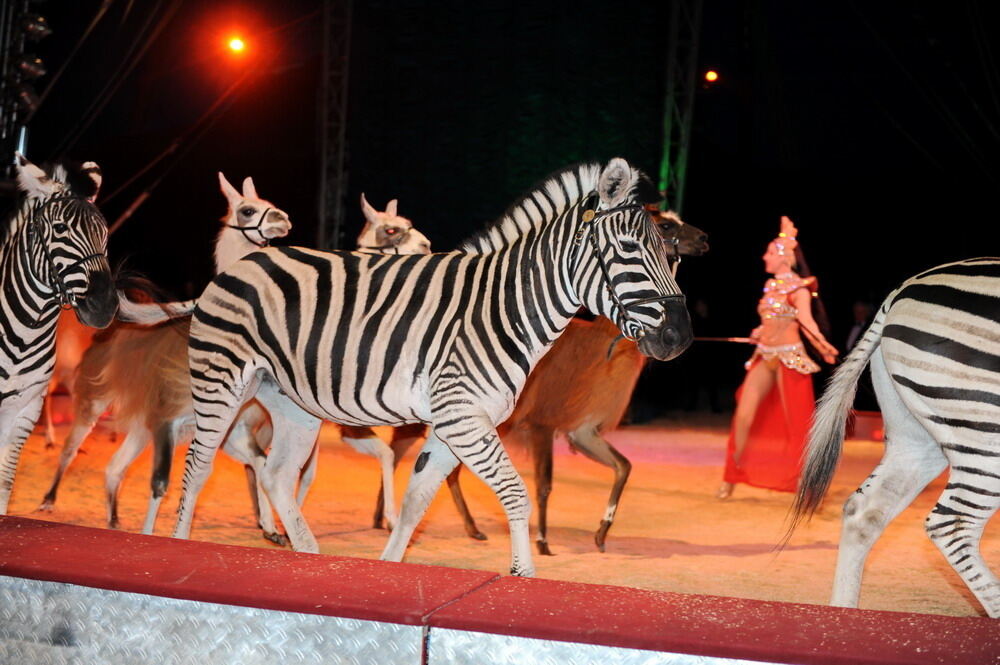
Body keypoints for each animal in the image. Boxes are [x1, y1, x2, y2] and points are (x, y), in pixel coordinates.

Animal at [0, 156, 118, 512]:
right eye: (61, 229)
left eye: (104, 234)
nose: (104, 306)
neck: (23, 335)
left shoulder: (26, 409)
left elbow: (5, 484)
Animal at [172, 158, 692, 572]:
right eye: (628, 250)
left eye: (668, 251)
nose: (681, 337)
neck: (501, 308)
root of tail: (242, 262)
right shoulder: (462, 417)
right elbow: (516, 495)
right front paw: (522, 578)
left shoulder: (454, 423)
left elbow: (414, 504)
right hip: (221, 381)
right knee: (198, 467)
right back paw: (177, 546)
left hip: (290, 402)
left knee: (277, 475)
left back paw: (308, 555)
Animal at [788, 258, 1000, 616]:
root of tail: (901, 289)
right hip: (984, 429)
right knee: (953, 525)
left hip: (918, 437)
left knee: (865, 512)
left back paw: (842, 616)